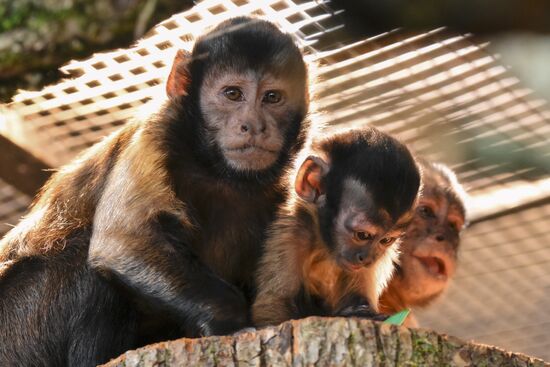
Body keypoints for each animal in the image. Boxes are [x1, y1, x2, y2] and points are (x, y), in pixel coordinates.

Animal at [0, 15, 310, 366]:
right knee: (82, 260)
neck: (216, 170)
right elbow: (122, 242)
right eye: (233, 94)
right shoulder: (156, 134)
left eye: (272, 97)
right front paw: (229, 321)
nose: (254, 126)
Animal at [254, 127, 422, 328]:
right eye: (362, 235)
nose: (366, 258)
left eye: (386, 240)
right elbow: (273, 305)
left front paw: (362, 312)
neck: (325, 248)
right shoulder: (295, 231)